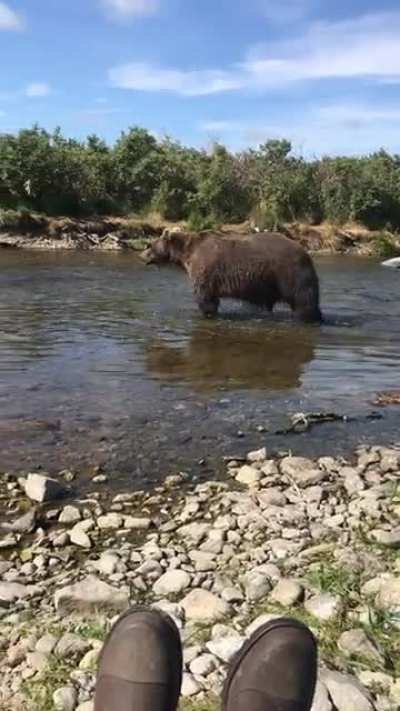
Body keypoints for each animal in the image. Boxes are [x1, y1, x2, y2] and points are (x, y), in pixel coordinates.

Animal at [141, 231, 322, 323]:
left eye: (150, 245)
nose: (141, 255)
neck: (186, 254)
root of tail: (306, 252)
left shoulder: (205, 270)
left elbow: (205, 297)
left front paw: (207, 314)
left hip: (290, 274)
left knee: (303, 301)